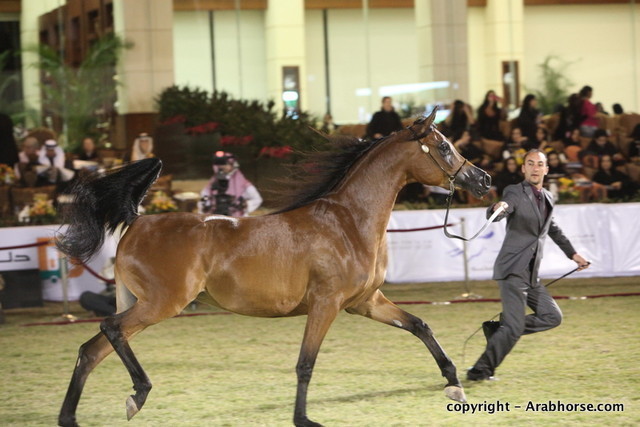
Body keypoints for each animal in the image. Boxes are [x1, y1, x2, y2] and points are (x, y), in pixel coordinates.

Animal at [57, 109, 491, 427]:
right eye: (444, 147)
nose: (483, 179)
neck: (348, 221)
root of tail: (138, 220)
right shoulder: (326, 304)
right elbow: (305, 364)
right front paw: (304, 420)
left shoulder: (366, 302)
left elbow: (420, 326)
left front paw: (454, 384)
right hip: (161, 304)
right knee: (109, 330)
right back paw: (139, 392)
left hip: (146, 306)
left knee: (90, 351)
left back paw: (73, 416)